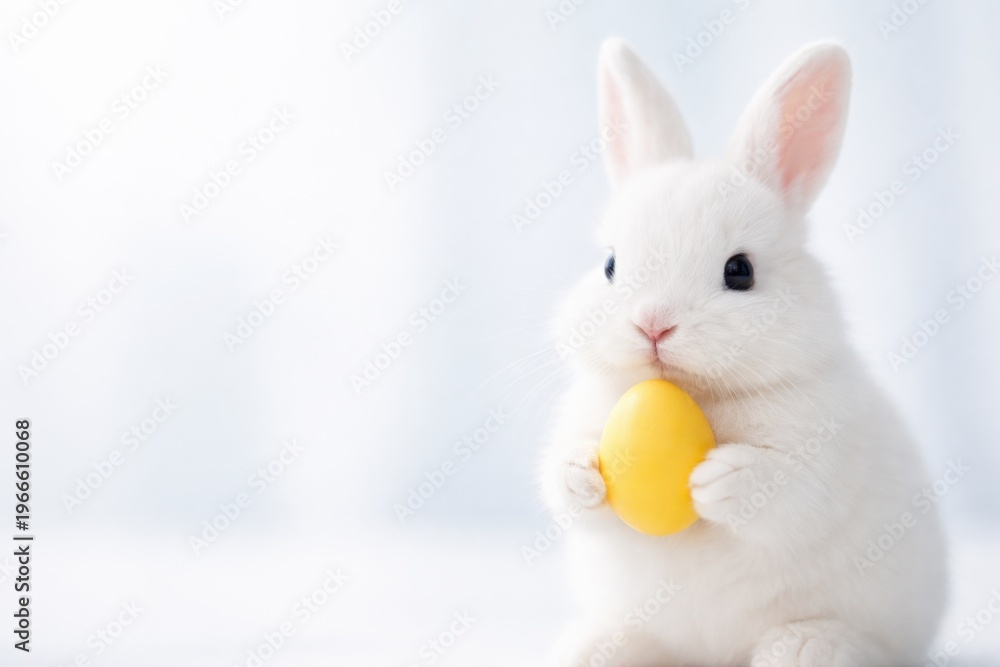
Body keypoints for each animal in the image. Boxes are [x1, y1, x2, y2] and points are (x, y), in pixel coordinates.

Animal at [542, 38, 947, 667]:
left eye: (740, 271)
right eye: (609, 265)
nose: (653, 325)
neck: (696, 393)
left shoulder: (819, 459)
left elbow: (785, 492)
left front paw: (719, 479)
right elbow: (569, 491)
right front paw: (580, 473)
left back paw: (805, 644)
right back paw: (593, 646)